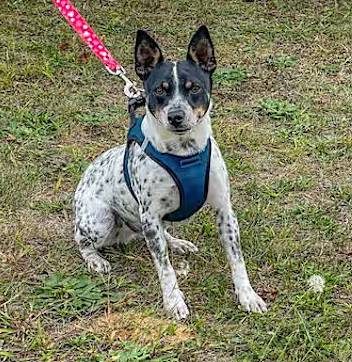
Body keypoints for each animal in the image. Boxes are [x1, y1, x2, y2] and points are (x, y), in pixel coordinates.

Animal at [74, 26, 266, 320]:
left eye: (194, 88)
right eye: (159, 90)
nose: (176, 116)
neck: (184, 153)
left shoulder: (224, 210)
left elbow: (237, 259)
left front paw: (247, 295)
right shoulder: (150, 214)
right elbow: (165, 269)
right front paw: (174, 302)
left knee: (161, 235)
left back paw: (177, 243)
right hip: (101, 219)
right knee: (82, 240)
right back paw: (96, 260)